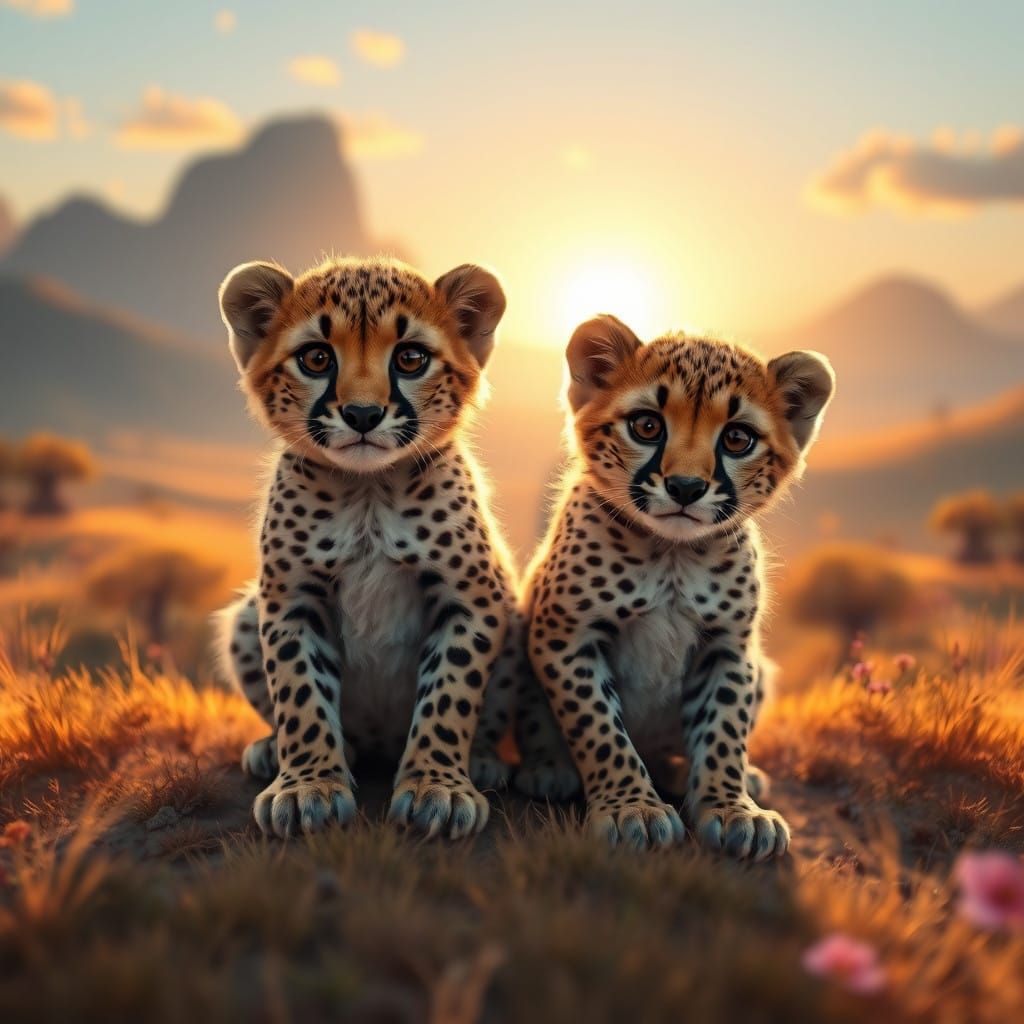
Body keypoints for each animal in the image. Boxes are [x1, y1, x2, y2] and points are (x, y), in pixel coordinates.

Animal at [215, 255, 521, 840]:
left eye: (410, 358)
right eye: (315, 358)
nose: (361, 414)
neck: (368, 491)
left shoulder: (470, 598)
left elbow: (449, 694)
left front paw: (436, 787)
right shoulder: (291, 600)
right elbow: (300, 695)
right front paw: (308, 786)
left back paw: (482, 761)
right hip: (247, 615)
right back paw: (276, 752)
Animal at [517, 313, 834, 859]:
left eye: (737, 439)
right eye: (647, 426)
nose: (686, 487)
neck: (673, 555)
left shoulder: (728, 646)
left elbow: (723, 730)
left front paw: (732, 810)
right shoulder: (568, 636)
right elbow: (600, 726)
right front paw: (632, 809)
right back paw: (548, 769)